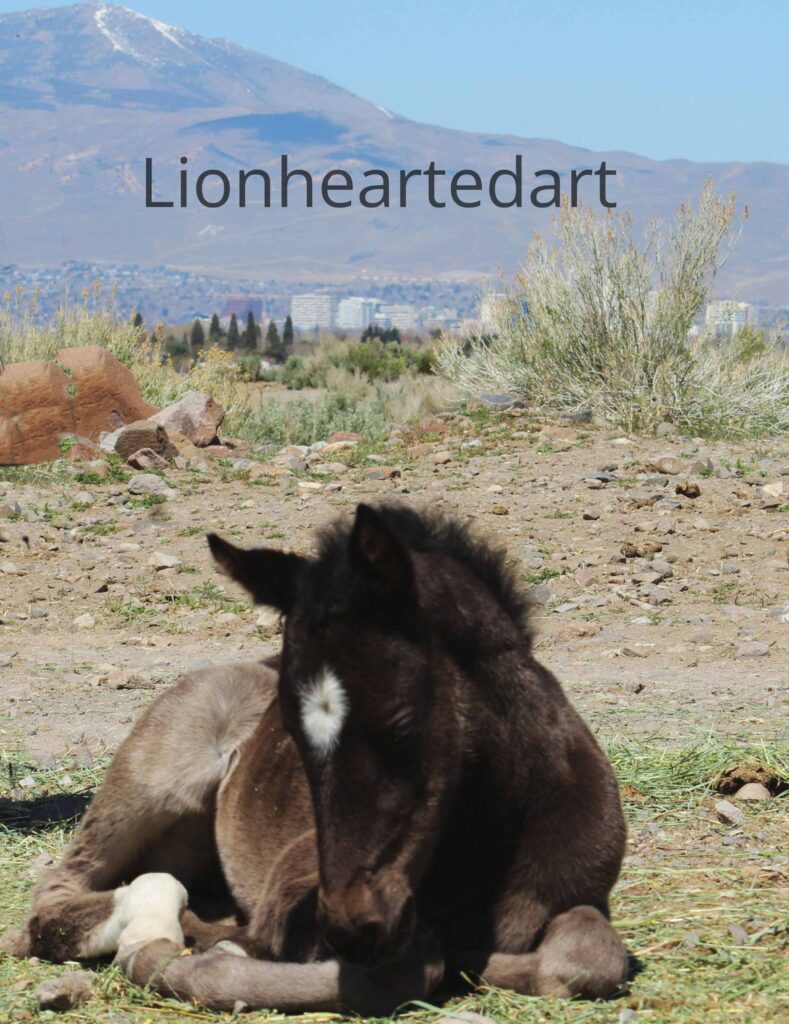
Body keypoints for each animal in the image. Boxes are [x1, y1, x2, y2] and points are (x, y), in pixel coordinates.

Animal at [2, 503, 629, 1014]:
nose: (353, 926)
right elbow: (403, 970)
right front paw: (179, 956)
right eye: (292, 734)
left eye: (403, 724)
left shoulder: (582, 896)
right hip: (154, 783)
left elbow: (588, 957)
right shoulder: (295, 904)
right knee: (58, 892)